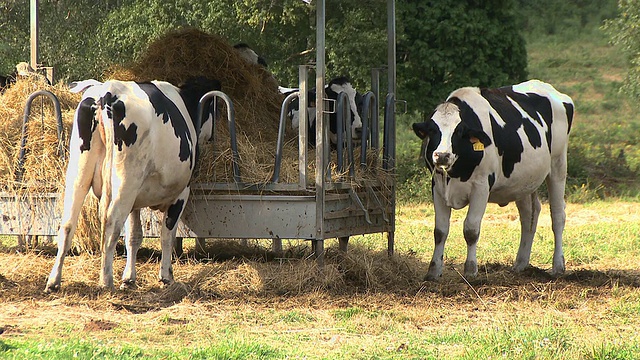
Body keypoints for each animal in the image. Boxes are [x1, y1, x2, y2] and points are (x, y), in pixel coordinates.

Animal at [44, 76, 220, 292]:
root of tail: (108, 91)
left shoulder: (136, 201)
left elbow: (134, 236)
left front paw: (129, 278)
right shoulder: (181, 194)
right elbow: (167, 235)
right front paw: (166, 276)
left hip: (79, 174)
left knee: (68, 224)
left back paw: (54, 281)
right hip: (125, 182)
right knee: (112, 224)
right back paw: (106, 281)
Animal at [412, 80, 576, 280]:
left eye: (459, 131)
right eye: (432, 130)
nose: (442, 155)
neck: (456, 173)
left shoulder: (481, 186)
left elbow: (471, 229)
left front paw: (471, 270)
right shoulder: (437, 185)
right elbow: (440, 231)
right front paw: (433, 271)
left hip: (558, 166)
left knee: (558, 215)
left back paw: (558, 265)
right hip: (524, 180)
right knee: (530, 214)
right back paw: (521, 263)